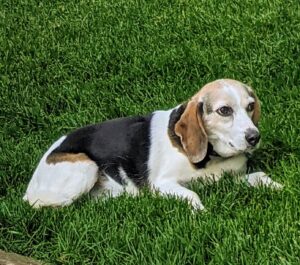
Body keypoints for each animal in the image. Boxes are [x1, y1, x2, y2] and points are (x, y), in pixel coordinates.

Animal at [22, 78, 282, 208]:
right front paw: (200, 213)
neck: (211, 157)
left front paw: (280, 187)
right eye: (224, 110)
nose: (254, 137)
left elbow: (260, 176)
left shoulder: (230, 177)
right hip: (85, 167)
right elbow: (192, 195)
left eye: (250, 106)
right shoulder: (162, 183)